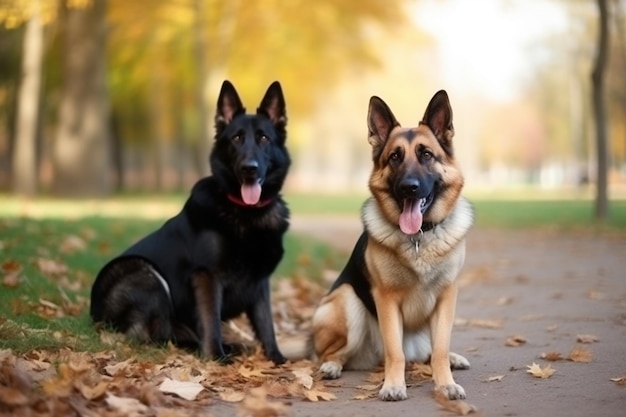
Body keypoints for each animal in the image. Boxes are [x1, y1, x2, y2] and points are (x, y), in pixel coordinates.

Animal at [90, 79, 290, 362]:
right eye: (237, 138)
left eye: (264, 138)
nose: (249, 169)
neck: (246, 212)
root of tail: (93, 315)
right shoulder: (207, 275)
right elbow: (211, 319)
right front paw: (215, 357)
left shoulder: (260, 284)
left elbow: (266, 324)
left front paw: (275, 358)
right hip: (146, 274)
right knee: (154, 336)